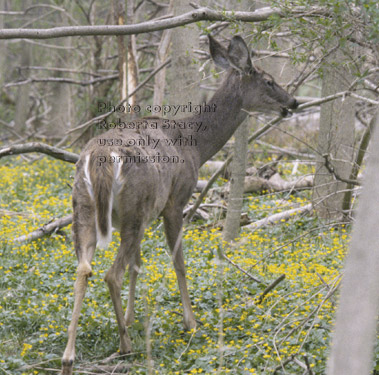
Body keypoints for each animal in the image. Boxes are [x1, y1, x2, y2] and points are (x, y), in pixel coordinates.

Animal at [61, 34, 300, 374]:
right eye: (268, 80)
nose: (293, 102)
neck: (197, 147)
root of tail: (100, 159)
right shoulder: (175, 200)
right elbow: (178, 262)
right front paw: (191, 322)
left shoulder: (147, 213)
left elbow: (138, 265)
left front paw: (131, 319)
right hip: (134, 208)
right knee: (110, 274)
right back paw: (124, 346)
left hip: (84, 208)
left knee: (85, 268)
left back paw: (70, 355)